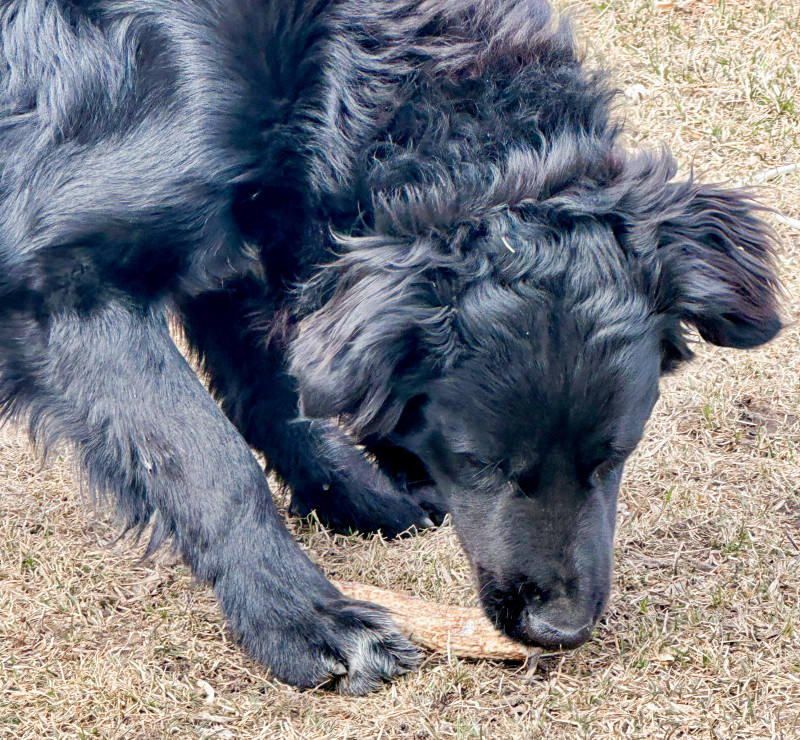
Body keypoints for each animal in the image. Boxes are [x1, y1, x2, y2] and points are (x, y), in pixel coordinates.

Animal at [0, 0, 780, 696]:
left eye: (615, 457)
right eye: (479, 463)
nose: (560, 629)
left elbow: (272, 391)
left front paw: (358, 496)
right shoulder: (68, 280)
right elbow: (206, 460)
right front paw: (306, 621)